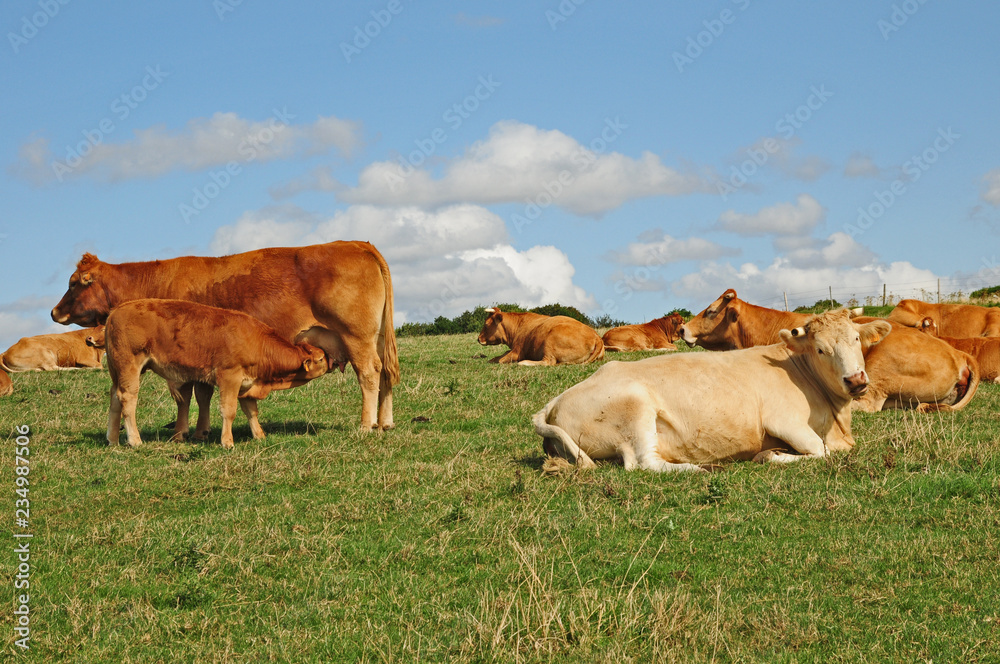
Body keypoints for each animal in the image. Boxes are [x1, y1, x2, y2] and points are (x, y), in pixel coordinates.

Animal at [47, 241, 398, 434]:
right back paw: (385, 422)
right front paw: (201, 430)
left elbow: (187, 395)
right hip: (377, 338)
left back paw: (366, 424)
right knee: (385, 376)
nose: (53, 311)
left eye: (74, 283)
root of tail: (356, 243)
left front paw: (184, 431)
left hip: (357, 338)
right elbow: (203, 394)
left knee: (369, 374)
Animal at [104, 300, 328, 452]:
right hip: (130, 367)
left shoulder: (246, 384)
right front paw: (227, 442)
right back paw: (135, 440)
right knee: (127, 399)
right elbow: (228, 411)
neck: (257, 341)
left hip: (118, 372)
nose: (332, 362)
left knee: (115, 398)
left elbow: (251, 411)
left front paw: (259, 435)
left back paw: (113, 440)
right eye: (321, 358)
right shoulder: (230, 377)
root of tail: (117, 310)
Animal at [536, 312, 888, 472]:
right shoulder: (784, 421)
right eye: (820, 349)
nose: (856, 380)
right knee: (644, 462)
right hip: (636, 409)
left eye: (856, 339)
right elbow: (819, 451)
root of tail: (557, 400)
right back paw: (701, 468)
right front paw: (772, 455)